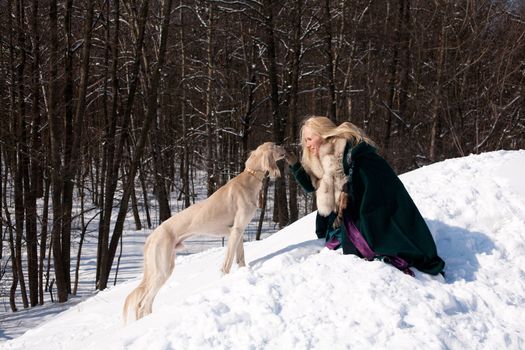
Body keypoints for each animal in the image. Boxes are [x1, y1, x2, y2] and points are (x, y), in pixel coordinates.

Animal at [123, 141, 284, 322]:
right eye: (276, 145)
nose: (286, 147)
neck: (249, 178)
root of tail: (151, 236)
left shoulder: (238, 231)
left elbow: (241, 258)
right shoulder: (236, 230)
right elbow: (227, 264)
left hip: (165, 267)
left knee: (146, 304)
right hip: (161, 270)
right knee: (142, 304)